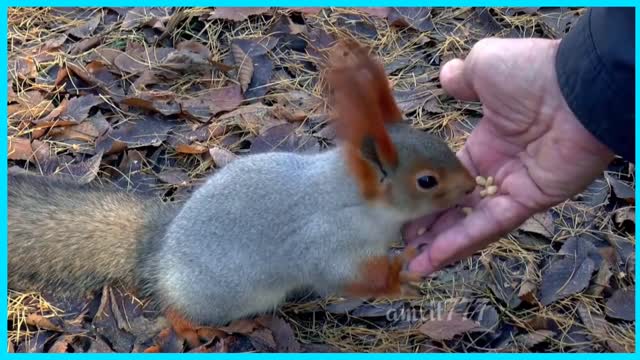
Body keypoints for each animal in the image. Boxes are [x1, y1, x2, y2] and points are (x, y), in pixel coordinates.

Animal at [6, 40, 476, 348]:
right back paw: (193, 327)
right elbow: (342, 276)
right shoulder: (324, 242)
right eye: (427, 181)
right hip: (218, 294)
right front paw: (401, 276)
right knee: (176, 309)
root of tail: (157, 250)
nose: (472, 186)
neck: (353, 199)